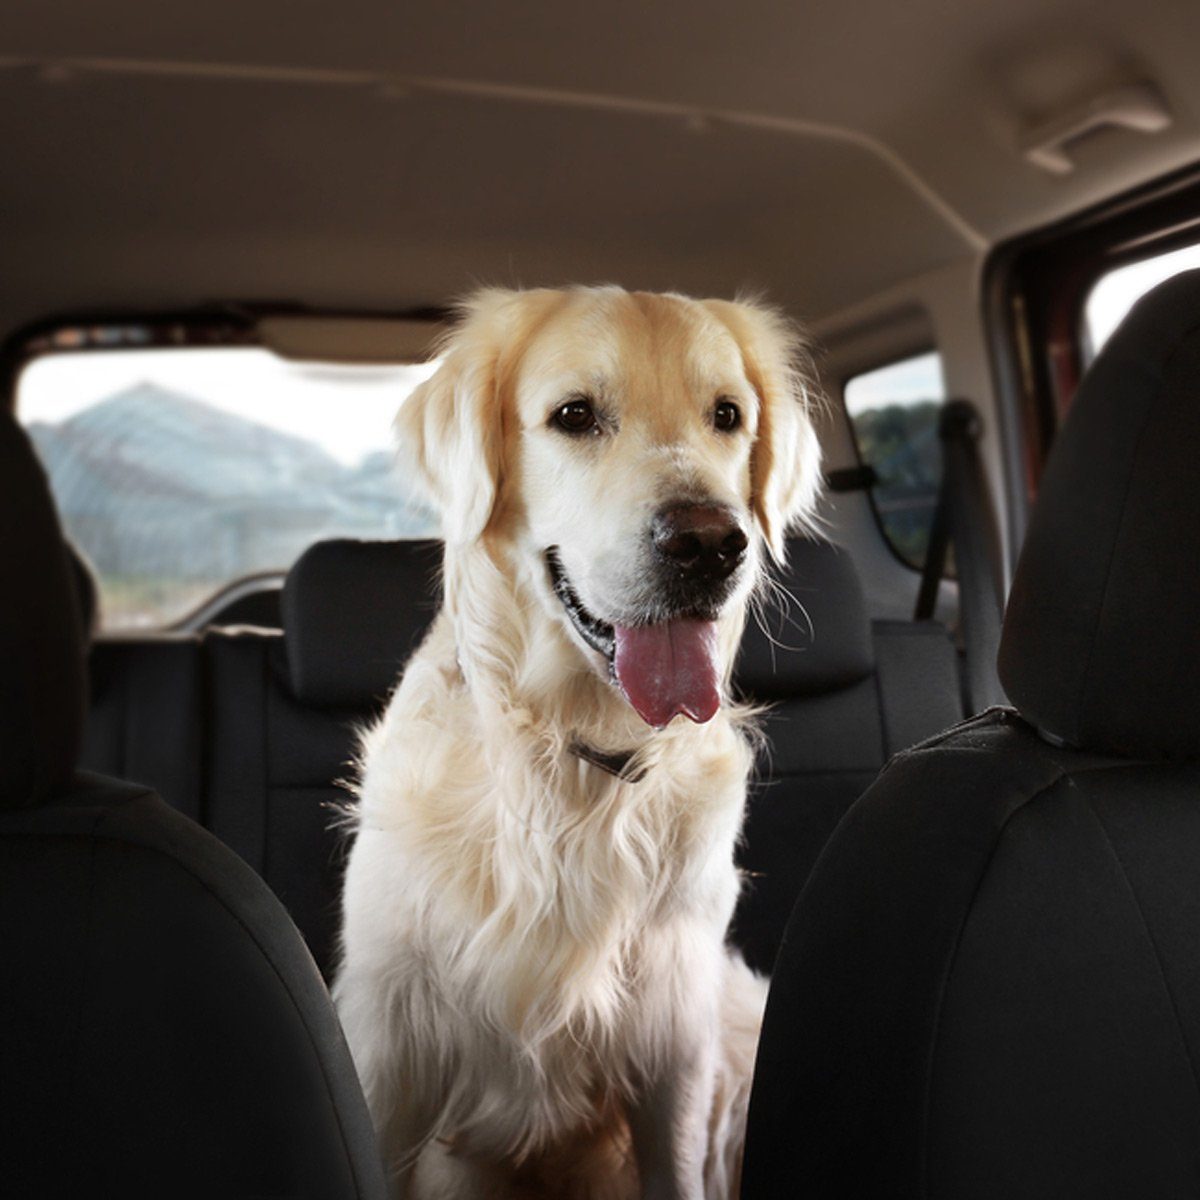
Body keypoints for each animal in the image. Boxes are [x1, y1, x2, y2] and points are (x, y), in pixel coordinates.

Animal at [338, 285, 825, 1195]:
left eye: (727, 415)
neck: (578, 757)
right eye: (574, 415)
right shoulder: (391, 1036)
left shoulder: (674, 1036)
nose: (710, 543)